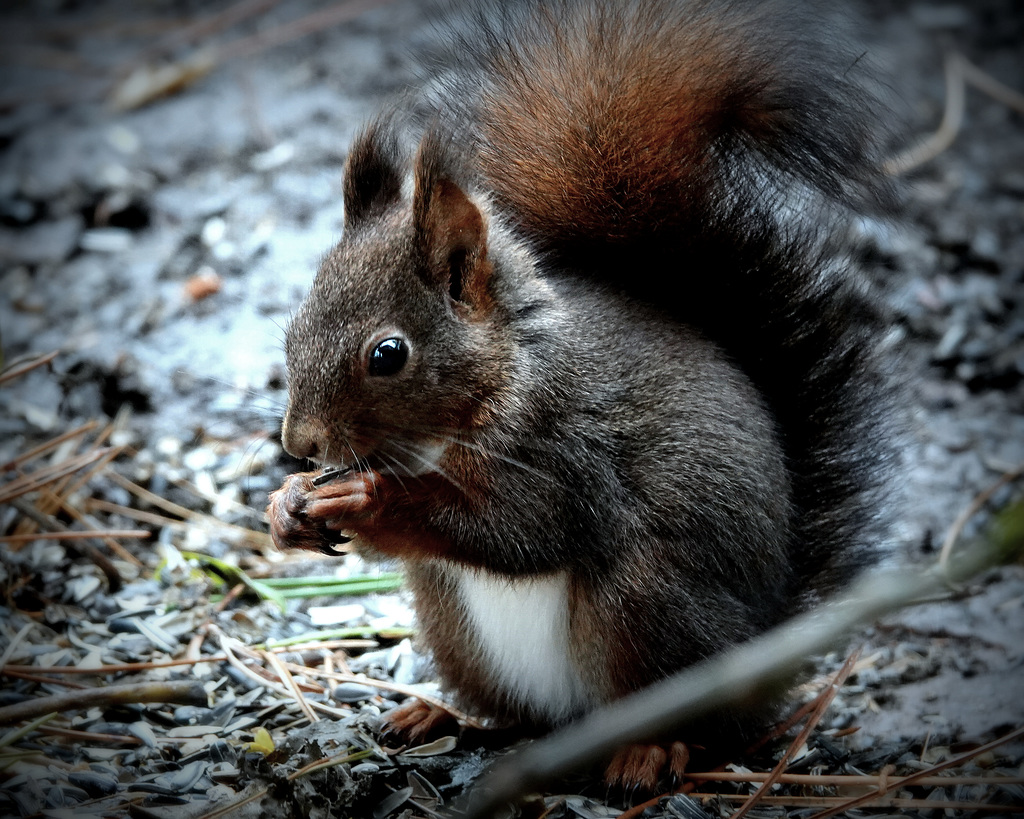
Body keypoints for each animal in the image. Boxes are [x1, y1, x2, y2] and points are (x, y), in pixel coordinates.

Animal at [266, 0, 897, 782]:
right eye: (294, 323)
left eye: (388, 354)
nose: (299, 443)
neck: (497, 379)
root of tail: (764, 651)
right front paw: (287, 505)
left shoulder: (568, 445)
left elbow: (521, 529)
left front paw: (368, 498)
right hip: (452, 620)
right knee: (518, 717)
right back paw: (442, 717)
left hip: (647, 606)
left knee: (700, 724)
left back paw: (650, 748)